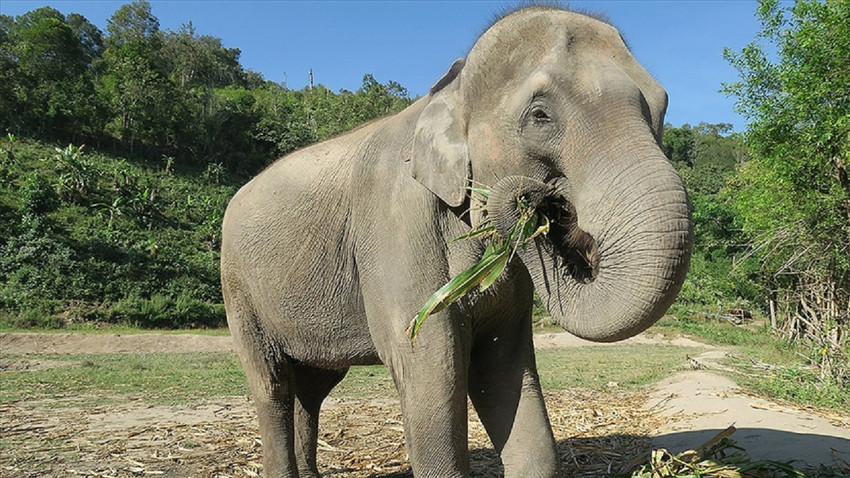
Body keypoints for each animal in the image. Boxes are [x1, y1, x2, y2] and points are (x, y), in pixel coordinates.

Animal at [222, 4, 692, 478]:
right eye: (540, 115)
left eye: (662, 106)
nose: (535, 202)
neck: (451, 86)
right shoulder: (396, 223)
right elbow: (430, 364)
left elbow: (503, 367)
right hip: (239, 289)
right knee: (274, 385)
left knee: (314, 384)